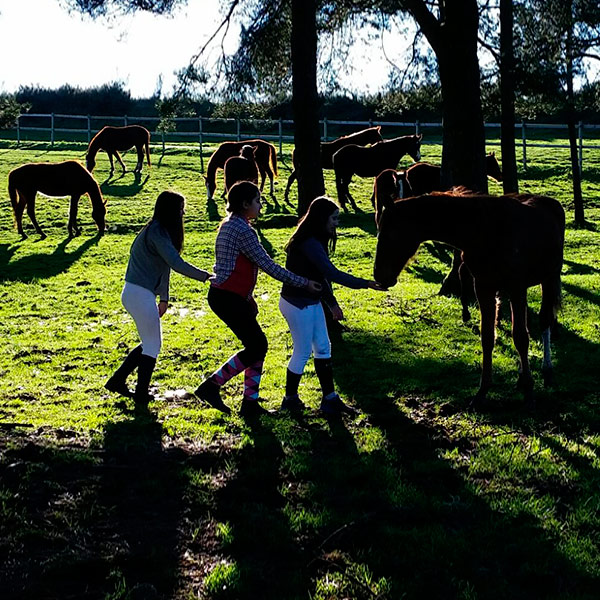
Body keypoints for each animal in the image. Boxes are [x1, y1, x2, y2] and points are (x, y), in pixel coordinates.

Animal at [372, 190, 564, 410]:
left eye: (389, 234)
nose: (379, 275)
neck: (486, 231)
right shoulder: (484, 288)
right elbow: (488, 337)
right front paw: (482, 392)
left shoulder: (517, 288)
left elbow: (521, 338)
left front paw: (530, 394)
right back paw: (522, 376)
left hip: (549, 278)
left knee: (545, 320)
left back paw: (546, 370)